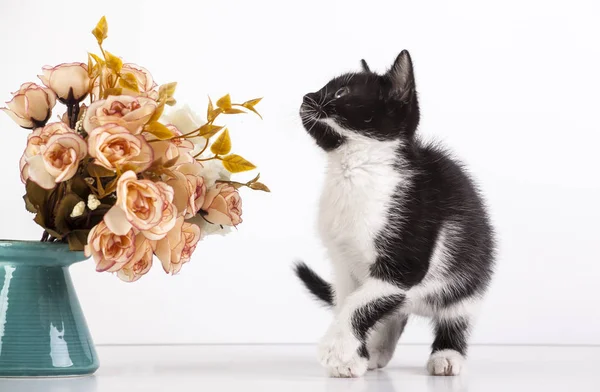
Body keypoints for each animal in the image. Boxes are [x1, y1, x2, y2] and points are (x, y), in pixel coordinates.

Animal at [296, 50, 496, 378]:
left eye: (341, 92)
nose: (307, 96)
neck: (354, 169)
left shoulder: (405, 262)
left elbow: (359, 304)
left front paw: (336, 347)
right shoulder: (343, 265)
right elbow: (349, 301)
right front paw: (352, 358)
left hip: (470, 275)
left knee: (456, 315)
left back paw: (447, 355)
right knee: (393, 313)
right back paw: (377, 351)